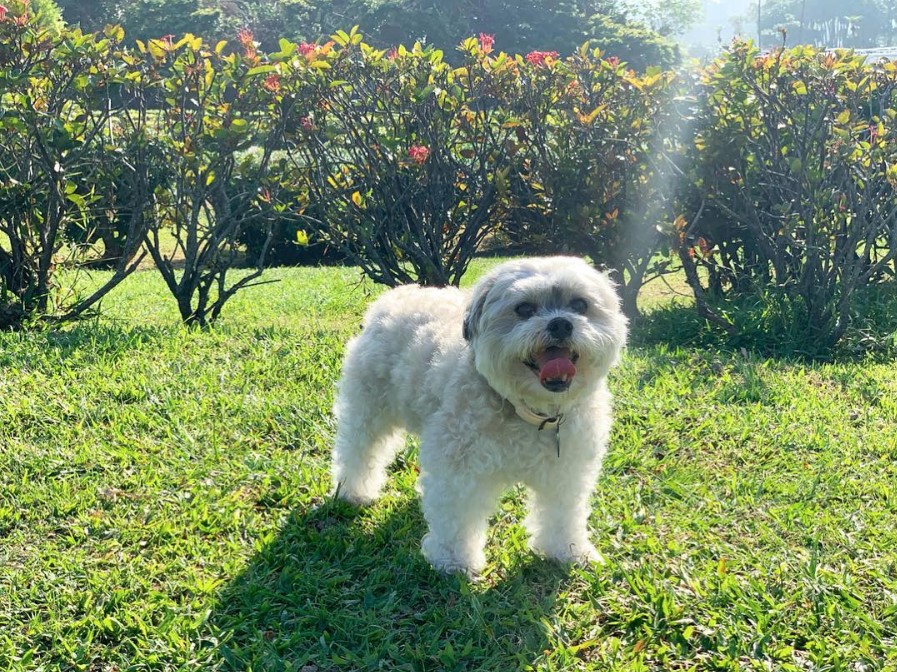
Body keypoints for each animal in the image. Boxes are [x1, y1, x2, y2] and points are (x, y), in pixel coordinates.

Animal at [330, 255, 632, 576]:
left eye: (579, 304)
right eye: (524, 309)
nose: (560, 323)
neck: (527, 411)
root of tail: (393, 297)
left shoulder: (566, 471)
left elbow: (563, 513)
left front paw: (569, 551)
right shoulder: (459, 468)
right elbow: (456, 515)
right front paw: (453, 561)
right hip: (368, 410)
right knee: (359, 449)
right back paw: (354, 491)